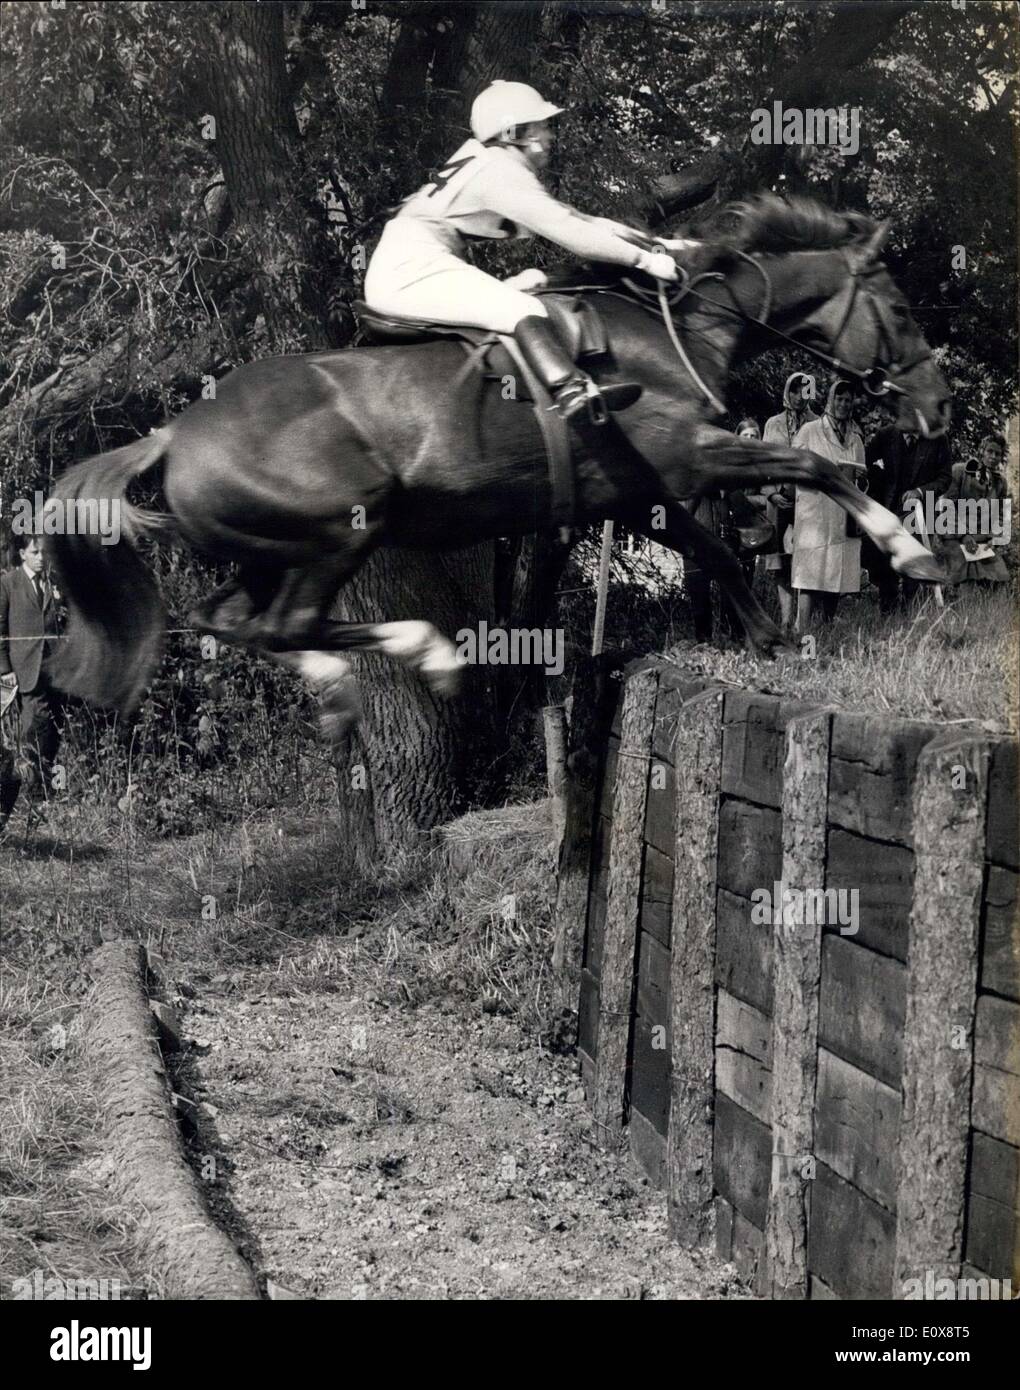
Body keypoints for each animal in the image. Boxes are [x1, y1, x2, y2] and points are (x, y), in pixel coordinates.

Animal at [45, 198, 956, 739]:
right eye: (901, 310)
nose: (939, 406)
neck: (681, 330)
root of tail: (172, 434)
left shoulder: (646, 493)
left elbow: (719, 552)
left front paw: (769, 639)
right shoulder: (692, 462)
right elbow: (815, 467)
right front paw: (910, 552)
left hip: (271, 550)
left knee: (226, 619)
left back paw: (392, 665)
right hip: (344, 526)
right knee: (283, 625)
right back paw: (406, 662)